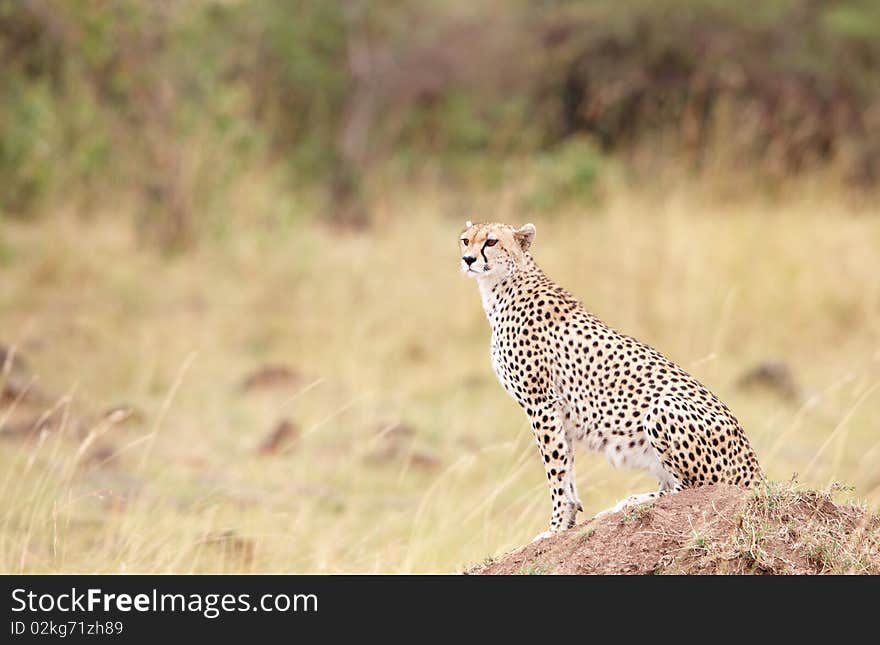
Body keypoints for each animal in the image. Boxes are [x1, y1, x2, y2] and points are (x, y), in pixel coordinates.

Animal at [460, 220, 764, 540]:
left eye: (491, 242)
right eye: (466, 240)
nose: (468, 259)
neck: (504, 285)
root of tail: (757, 472)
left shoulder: (540, 403)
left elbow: (555, 470)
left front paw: (555, 527)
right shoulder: (557, 410)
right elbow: (566, 467)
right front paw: (568, 520)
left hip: (663, 406)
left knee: (691, 488)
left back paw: (631, 502)